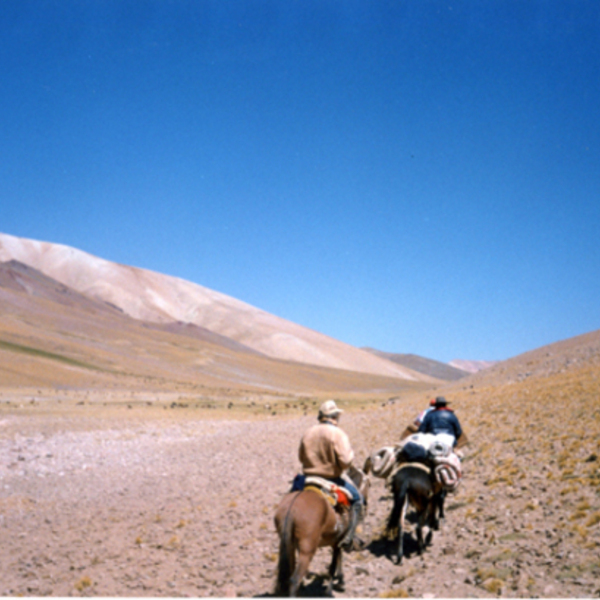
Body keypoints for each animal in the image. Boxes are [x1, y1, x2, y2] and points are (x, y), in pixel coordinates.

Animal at [274, 466, 368, 596]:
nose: (362, 543)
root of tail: (292, 508)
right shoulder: (337, 542)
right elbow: (334, 565)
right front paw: (331, 589)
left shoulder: (335, 542)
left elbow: (337, 560)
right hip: (307, 550)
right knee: (294, 579)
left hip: (289, 545)